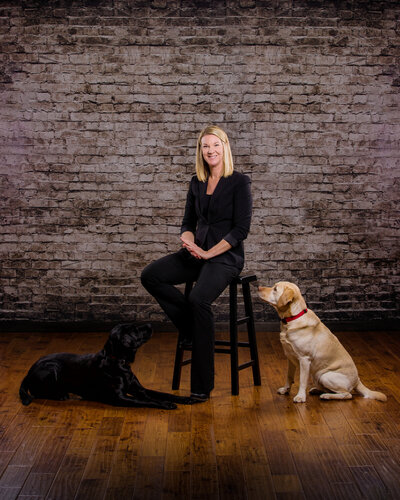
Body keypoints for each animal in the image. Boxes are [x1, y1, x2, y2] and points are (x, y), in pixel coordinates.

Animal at [19, 324, 198, 410]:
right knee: (39, 392)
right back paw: (62, 394)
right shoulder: (119, 398)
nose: (149, 324)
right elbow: (148, 401)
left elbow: (163, 394)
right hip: (52, 368)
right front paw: (165, 404)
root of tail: (27, 373)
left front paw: (186, 398)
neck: (119, 362)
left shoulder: (140, 389)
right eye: (135, 329)